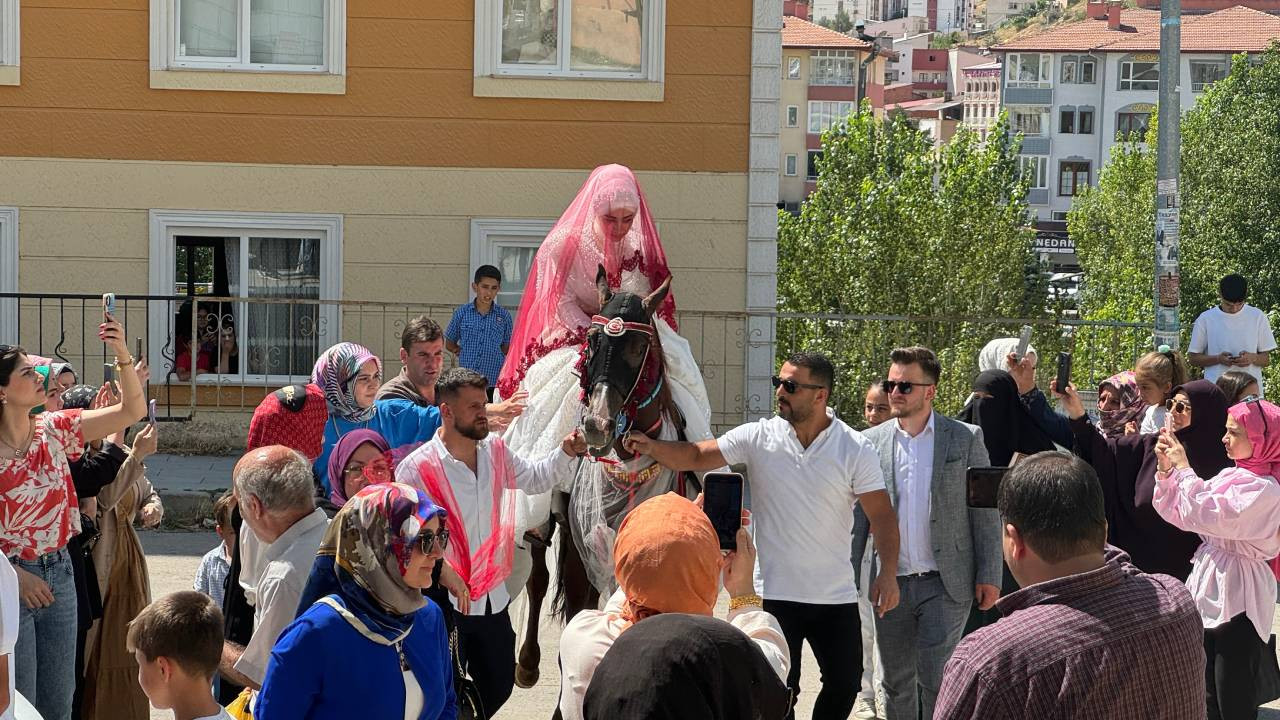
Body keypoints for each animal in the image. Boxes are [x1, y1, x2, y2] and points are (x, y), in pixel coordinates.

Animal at [512, 263, 696, 702]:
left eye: (638, 347)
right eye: (591, 342)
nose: (596, 424)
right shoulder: (586, 545)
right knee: (539, 578)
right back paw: (527, 663)